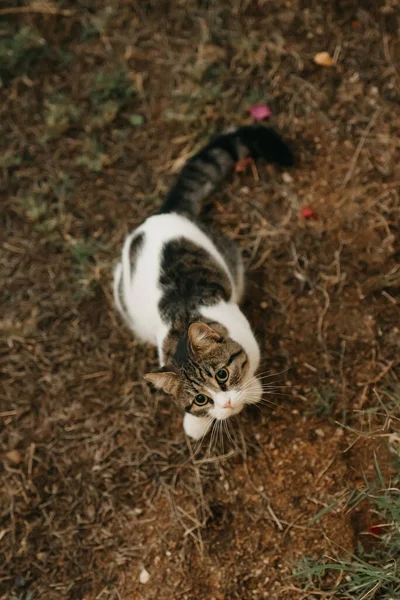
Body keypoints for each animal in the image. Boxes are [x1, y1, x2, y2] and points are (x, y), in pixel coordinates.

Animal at [112, 124, 294, 438]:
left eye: (222, 375)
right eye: (200, 399)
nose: (227, 404)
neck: (185, 317)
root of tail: (163, 214)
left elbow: (251, 367)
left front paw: (252, 390)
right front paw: (197, 423)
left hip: (230, 256)